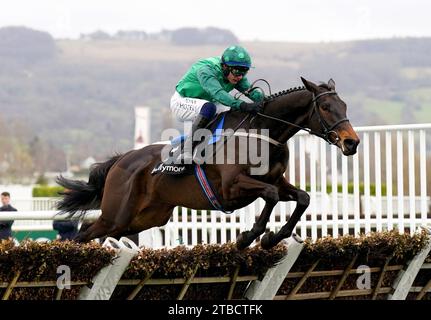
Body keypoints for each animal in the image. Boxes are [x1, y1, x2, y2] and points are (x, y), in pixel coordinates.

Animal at [56, 77, 362, 250]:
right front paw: (248, 237)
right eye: (325, 107)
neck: (262, 132)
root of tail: (121, 159)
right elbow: (271, 196)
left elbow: (303, 197)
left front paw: (272, 238)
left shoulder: (277, 180)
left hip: (144, 218)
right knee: (83, 233)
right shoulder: (231, 187)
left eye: (345, 106)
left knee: (92, 232)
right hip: (116, 214)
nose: (352, 142)